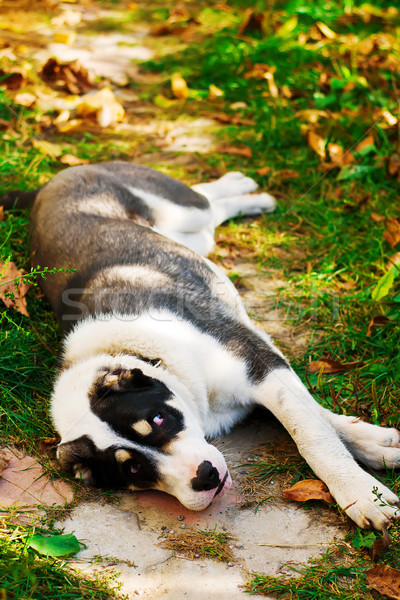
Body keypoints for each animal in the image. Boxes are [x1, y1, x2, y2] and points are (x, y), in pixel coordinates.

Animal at [3, 162, 400, 528]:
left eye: (158, 418)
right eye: (132, 471)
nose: (205, 477)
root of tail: (52, 181)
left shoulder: (259, 363)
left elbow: (313, 435)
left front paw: (363, 495)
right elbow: (317, 420)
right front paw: (377, 448)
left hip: (182, 208)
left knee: (206, 200)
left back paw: (243, 186)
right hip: (194, 239)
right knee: (213, 215)